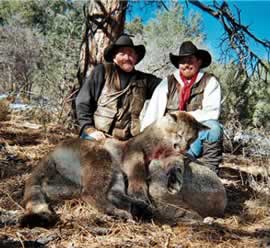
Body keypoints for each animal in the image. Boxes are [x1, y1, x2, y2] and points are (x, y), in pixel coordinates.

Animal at [20, 111, 208, 228]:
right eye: (179, 134)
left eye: (191, 139)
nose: (184, 147)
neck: (163, 145)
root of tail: (51, 151)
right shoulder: (135, 152)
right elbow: (138, 172)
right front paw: (139, 190)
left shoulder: (170, 156)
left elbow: (177, 164)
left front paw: (175, 182)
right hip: (103, 158)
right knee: (89, 193)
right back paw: (125, 210)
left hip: (113, 174)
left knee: (111, 193)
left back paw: (139, 208)